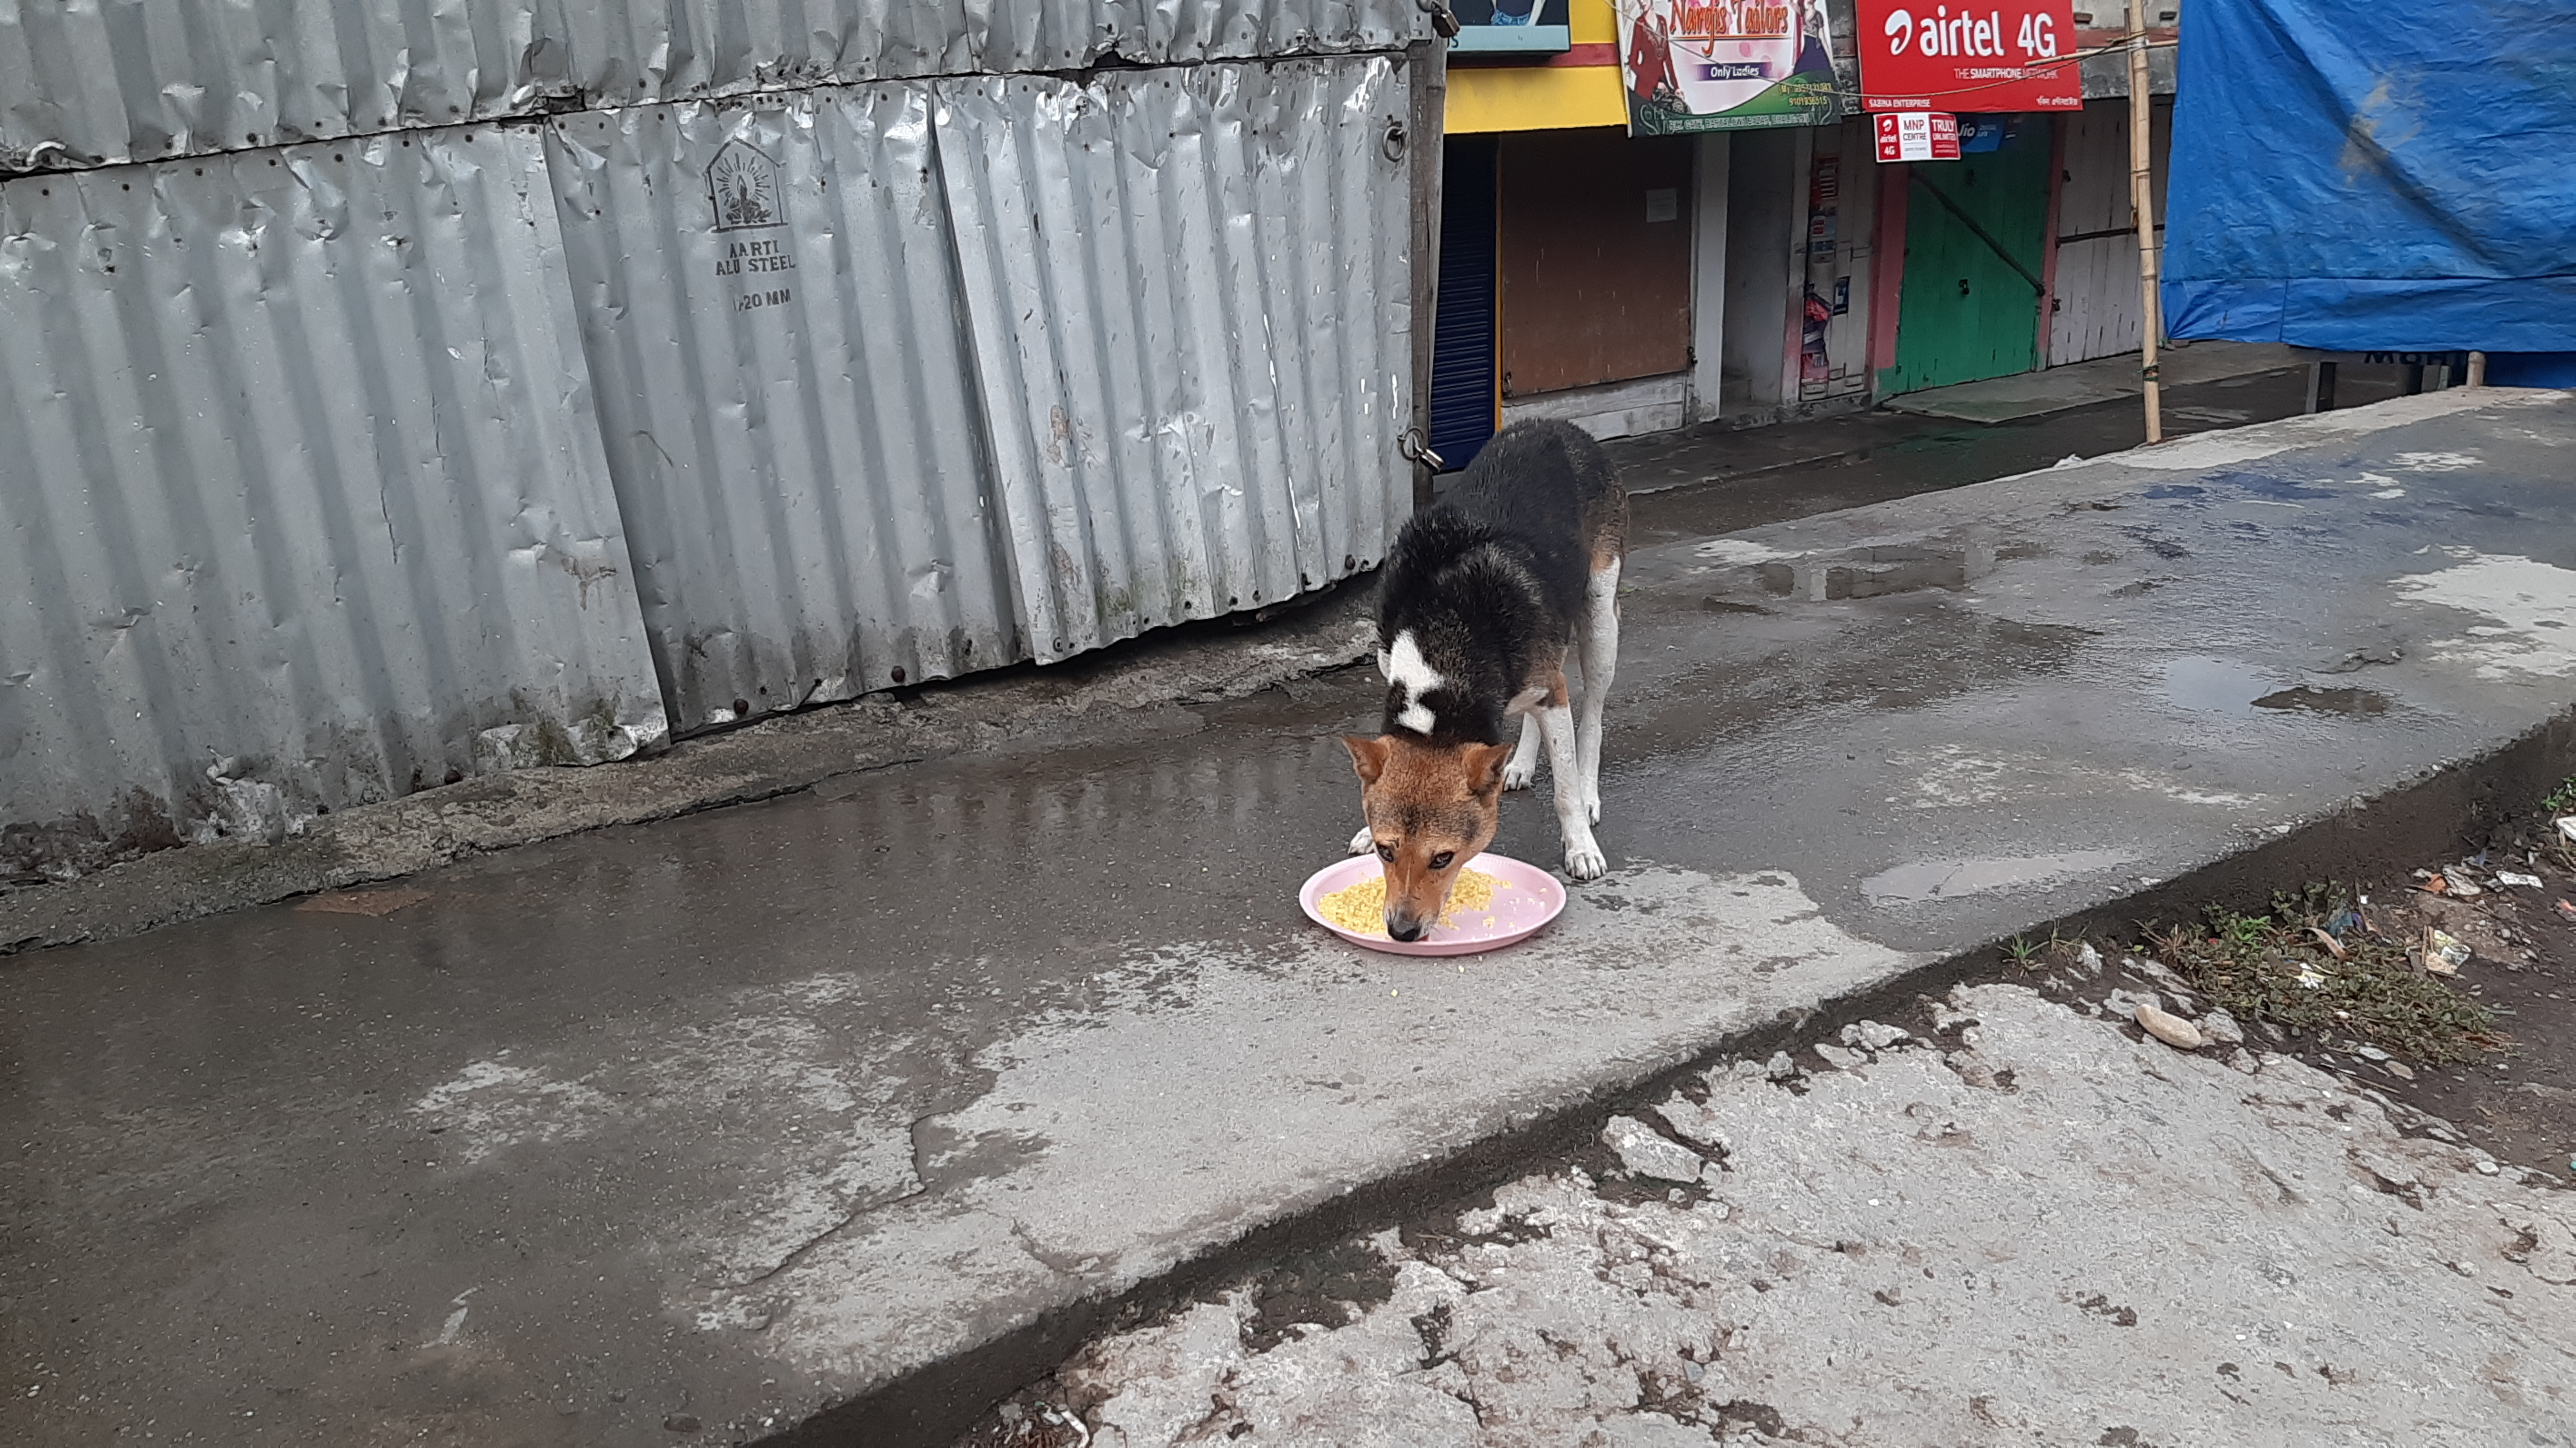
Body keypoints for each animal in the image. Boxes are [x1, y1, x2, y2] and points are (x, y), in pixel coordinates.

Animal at [1349, 417, 1628, 938]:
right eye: (1385, 851)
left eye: (1444, 858)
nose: (1401, 933)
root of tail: (1559, 425)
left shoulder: (1552, 688)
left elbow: (1563, 789)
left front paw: (1580, 844)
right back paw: (1518, 765)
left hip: (1601, 620)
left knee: (1594, 716)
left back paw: (1589, 791)